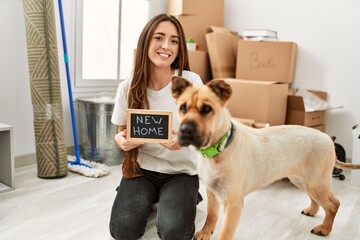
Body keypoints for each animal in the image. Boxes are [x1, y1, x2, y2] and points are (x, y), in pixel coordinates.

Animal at [171, 77, 360, 240]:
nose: (185, 130)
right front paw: (205, 232)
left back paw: (325, 228)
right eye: (182, 108)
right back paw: (312, 211)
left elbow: (225, 233)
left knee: (334, 204)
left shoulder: (233, 204)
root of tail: (329, 139)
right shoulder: (212, 191)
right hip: (301, 179)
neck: (219, 147)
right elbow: (211, 215)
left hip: (315, 182)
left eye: (207, 109)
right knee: (317, 199)